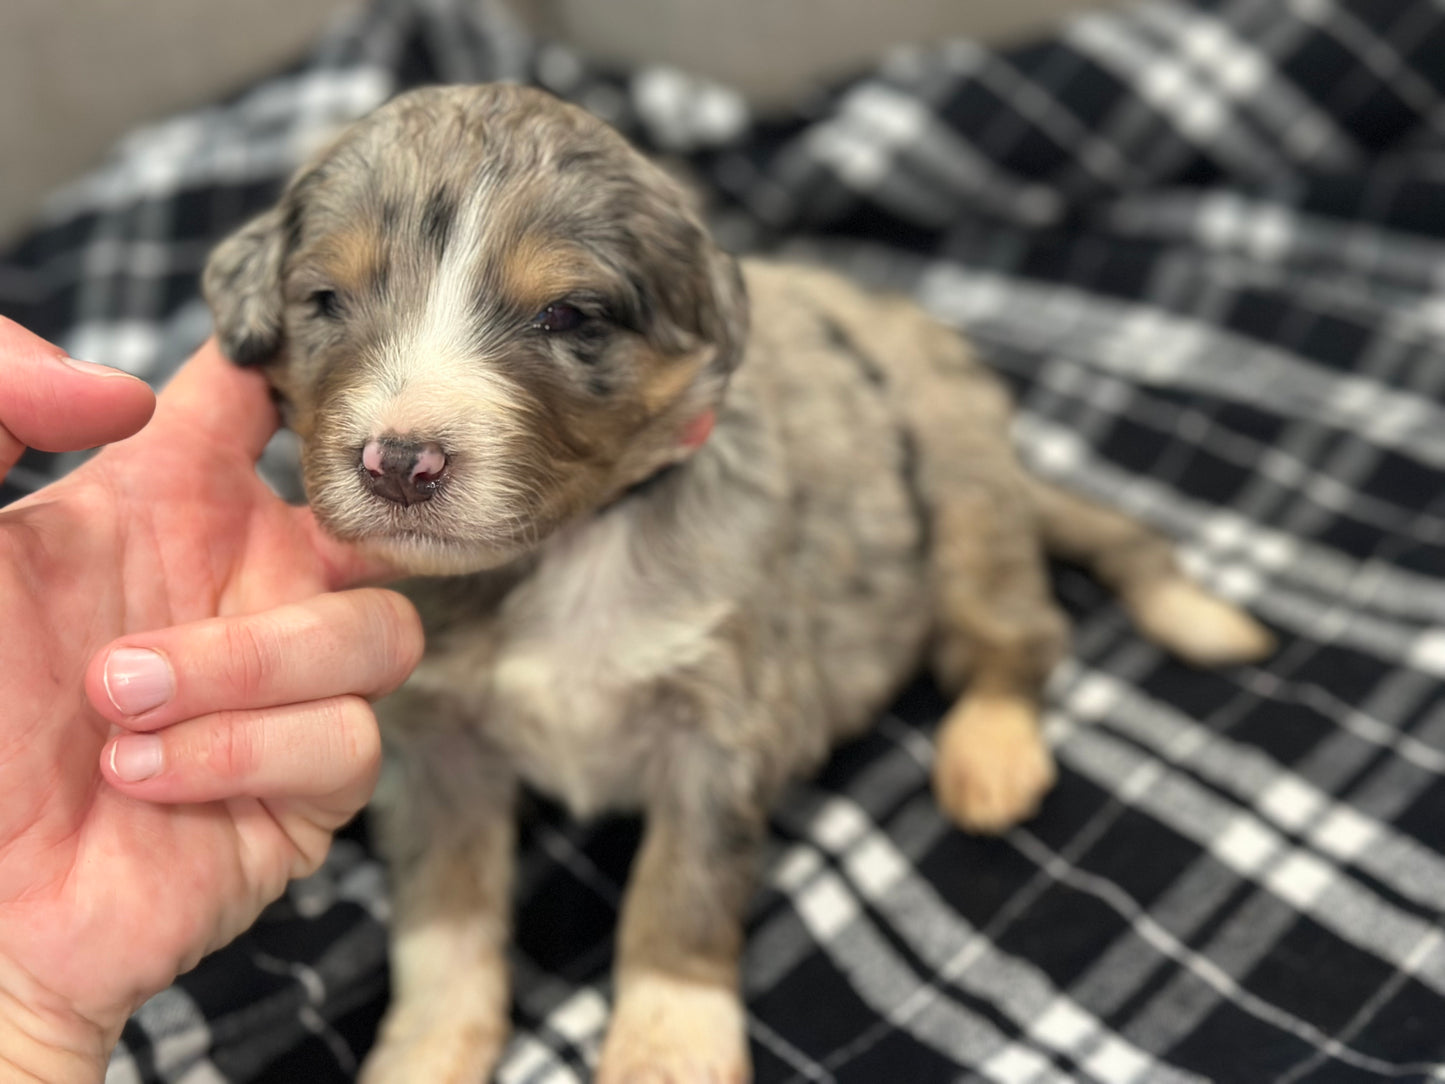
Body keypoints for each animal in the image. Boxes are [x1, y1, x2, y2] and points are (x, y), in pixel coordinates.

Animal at [206, 84, 1277, 1084]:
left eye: (566, 315)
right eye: (325, 302)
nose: (399, 463)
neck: (568, 549)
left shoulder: (719, 723)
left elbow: (677, 892)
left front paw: (665, 1048)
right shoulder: (439, 749)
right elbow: (445, 921)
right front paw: (427, 1051)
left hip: (965, 500)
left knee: (1017, 640)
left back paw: (991, 756)